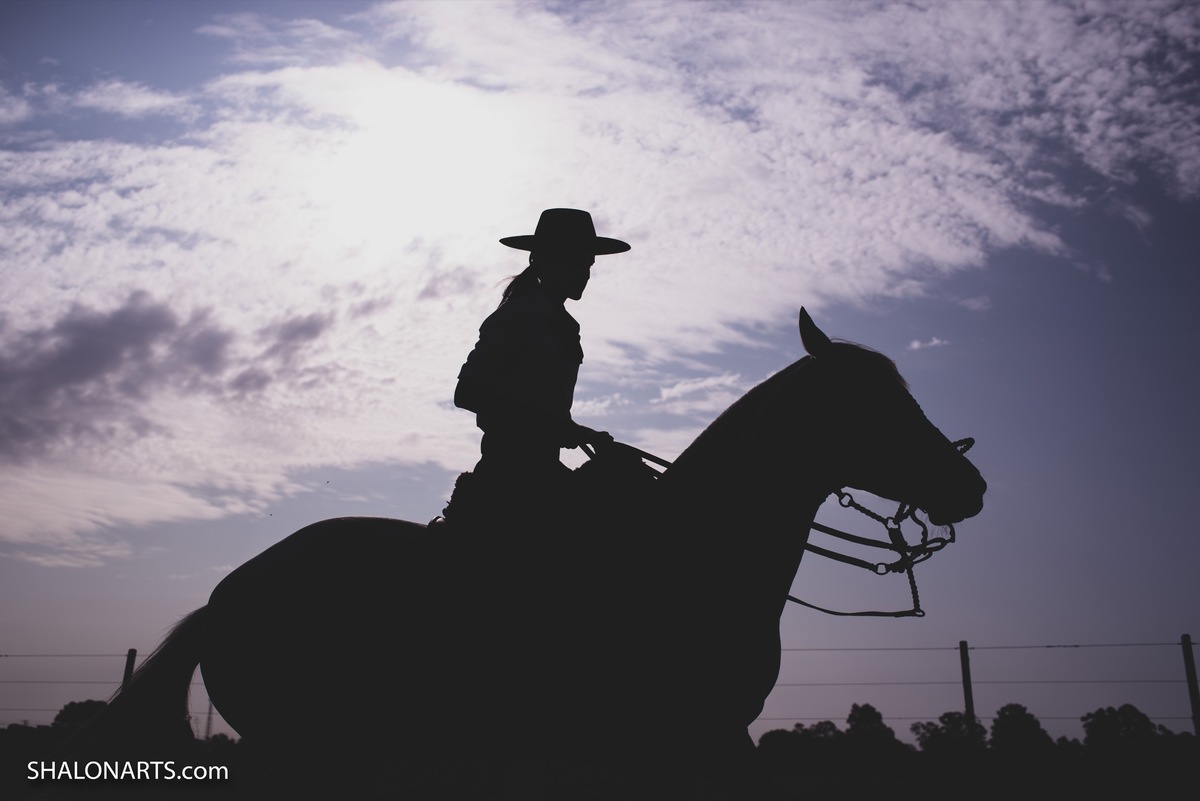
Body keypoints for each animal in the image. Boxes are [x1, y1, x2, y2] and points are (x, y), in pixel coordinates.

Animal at [78, 308, 985, 798]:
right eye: (877, 402)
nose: (969, 482)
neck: (697, 554)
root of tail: (224, 594)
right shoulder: (697, 734)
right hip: (300, 747)